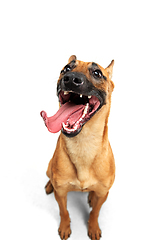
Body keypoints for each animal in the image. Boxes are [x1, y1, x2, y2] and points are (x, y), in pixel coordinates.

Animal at [40, 55, 115, 240]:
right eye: (66, 69)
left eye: (97, 73)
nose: (70, 78)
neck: (83, 144)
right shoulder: (61, 193)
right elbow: (64, 211)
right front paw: (65, 227)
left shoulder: (104, 193)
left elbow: (95, 212)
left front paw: (93, 227)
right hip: (49, 167)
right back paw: (49, 185)